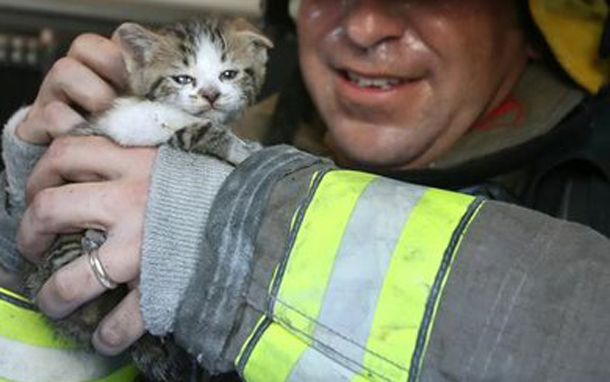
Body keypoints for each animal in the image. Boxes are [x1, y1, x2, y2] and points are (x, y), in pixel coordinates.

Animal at [24, 15, 270, 382]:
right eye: (183, 78)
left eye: (229, 74)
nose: (210, 95)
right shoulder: (145, 124)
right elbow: (206, 131)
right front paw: (244, 152)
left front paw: (248, 145)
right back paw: (91, 239)